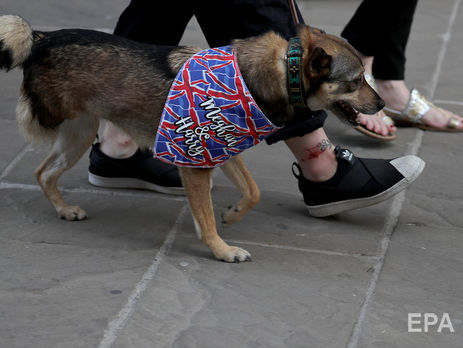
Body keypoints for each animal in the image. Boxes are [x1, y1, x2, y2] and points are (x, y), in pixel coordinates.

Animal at [0, 15, 384, 260]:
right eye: (355, 82)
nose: (381, 104)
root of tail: (41, 37)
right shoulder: (196, 160)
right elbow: (206, 217)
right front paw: (221, 250)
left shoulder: (224, 149)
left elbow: (253, 192)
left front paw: (233, 215)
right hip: (63, 123)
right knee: (44, 167)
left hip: (78, 135)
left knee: (43, 173)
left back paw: (64, 210)